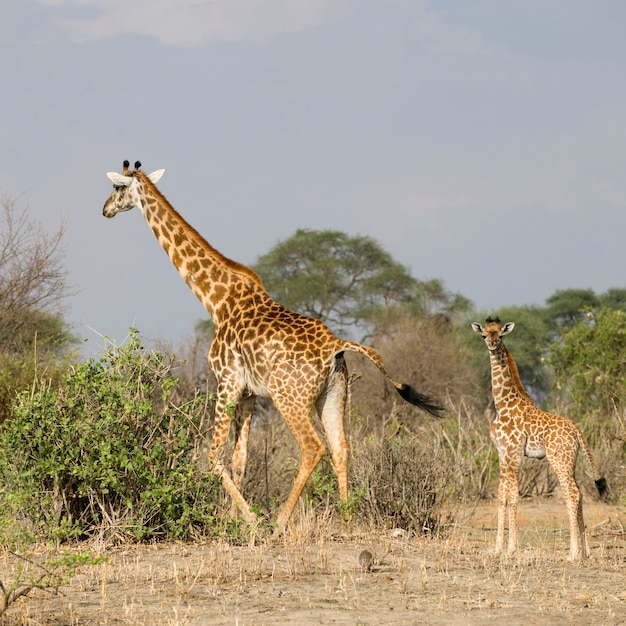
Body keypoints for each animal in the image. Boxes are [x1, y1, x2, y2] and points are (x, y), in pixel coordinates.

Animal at [102, 158, 442, 528]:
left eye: (117, 187)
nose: (105, 209)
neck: (216, 300)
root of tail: (336, 345)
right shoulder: (249, 393)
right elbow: (240, 459)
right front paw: (234, 522)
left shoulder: (227, 381)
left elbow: (213, 456)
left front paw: (249, 521)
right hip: (333, 395)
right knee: (341, 449)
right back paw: (347, 520)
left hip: (288, 396)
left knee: (313, 447)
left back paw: (280, 524)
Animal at [470, 314, 604, 560]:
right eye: (484, 334)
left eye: (500, 335)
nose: (492, 345)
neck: (502, 405)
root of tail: (576, 429)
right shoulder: (502, 453)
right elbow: (501, 495)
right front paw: (497, 548)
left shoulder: (514, 452)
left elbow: (513, 495)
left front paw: (511, 549)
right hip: (570, 460)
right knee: (579, 493)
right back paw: (584, 552)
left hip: (558, 459)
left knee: (571, 494)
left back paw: (573, 554)